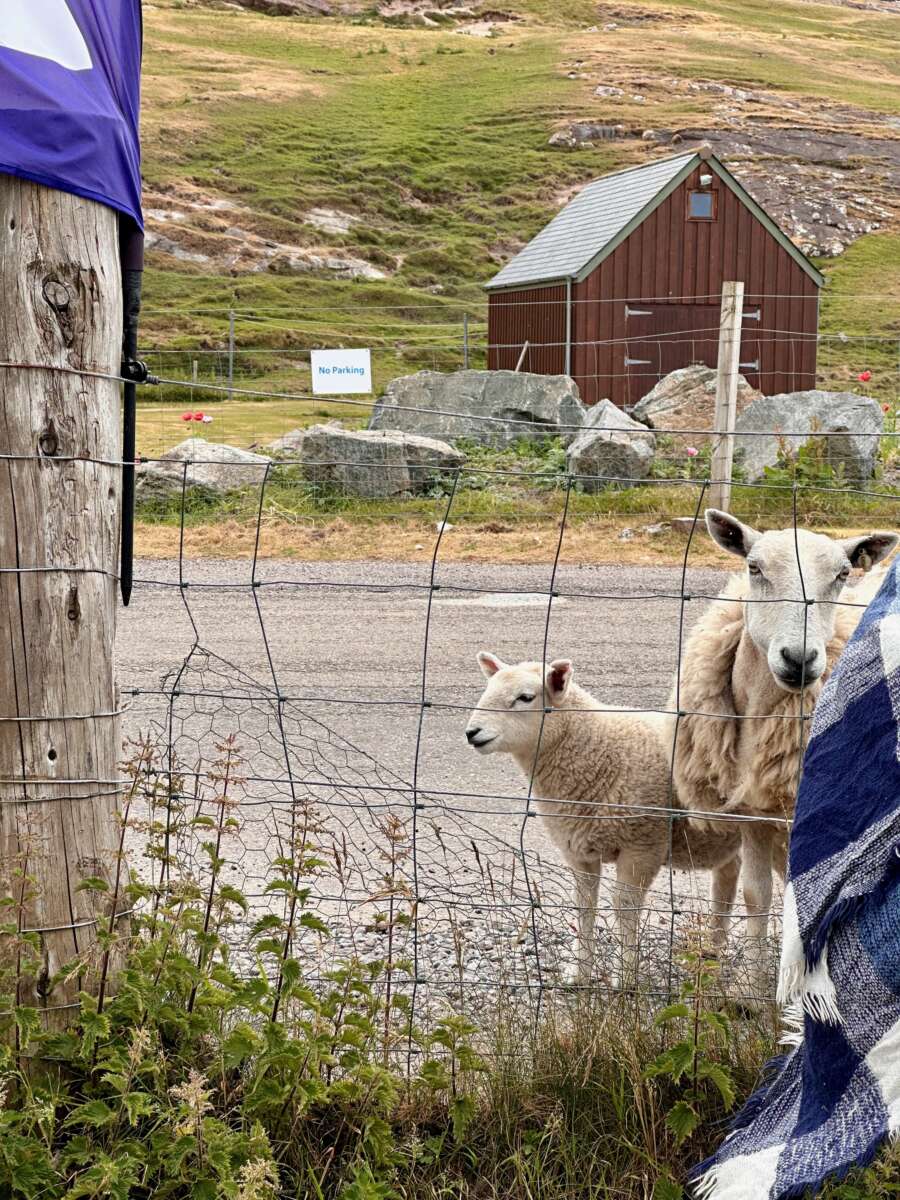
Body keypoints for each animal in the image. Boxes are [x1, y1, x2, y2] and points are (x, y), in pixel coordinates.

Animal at [465, 657, 739, 984]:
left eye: (525, 697)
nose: (472, 732)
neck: (597, 747)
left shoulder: (643, 845)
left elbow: (625, 907)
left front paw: (626, 977)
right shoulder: (578, 850)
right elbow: (585, 906)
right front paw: (580, 973)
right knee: (727, 882)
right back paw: (714, 953)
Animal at [672, 508, 897, 1003]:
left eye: (842, 574)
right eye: (754, 568)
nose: (799, 659)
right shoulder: (754, 811)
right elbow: (756, 896)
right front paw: (754, 994)